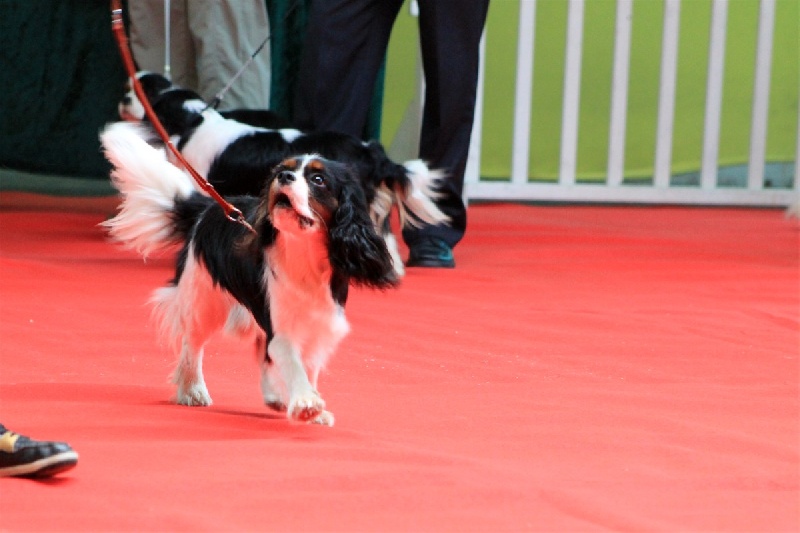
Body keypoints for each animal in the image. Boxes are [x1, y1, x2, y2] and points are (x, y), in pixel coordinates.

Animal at [102, 122, 396, 426]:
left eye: (318, 179)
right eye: (281, 170)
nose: (284, 176)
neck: (303, 252)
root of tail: (209, 208)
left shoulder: (320, 323)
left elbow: (306, 363)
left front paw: (310, 405)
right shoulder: (281, 326)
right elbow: (291, 360)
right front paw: (306, 402)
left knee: (258, 348)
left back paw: (273, 396)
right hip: (203, 300)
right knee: (192, 345)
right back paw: (192, 390)